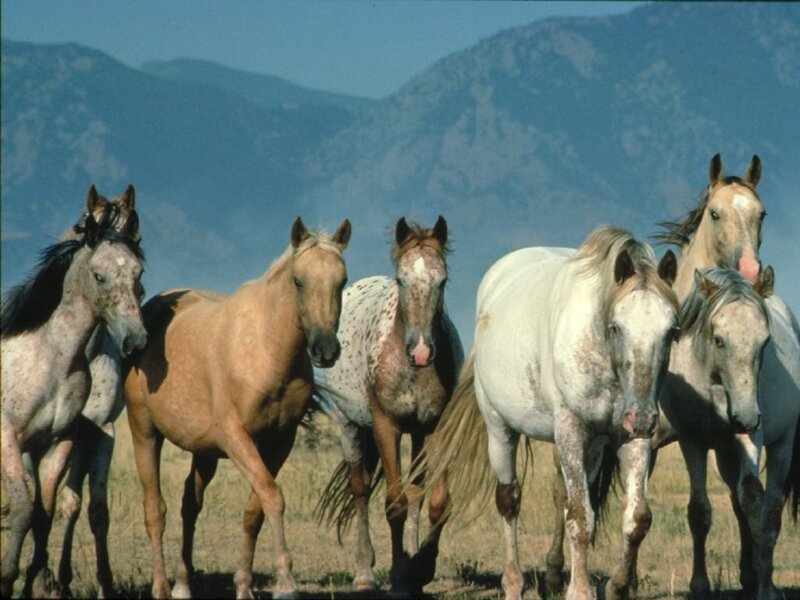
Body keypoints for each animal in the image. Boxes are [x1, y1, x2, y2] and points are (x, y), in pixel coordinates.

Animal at [1, 213, 147, 598]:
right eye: (98, 276)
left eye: (138, 274)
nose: (136, 341)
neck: (50, 357)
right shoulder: (8, 438)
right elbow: (23, 508)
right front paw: (7, 579)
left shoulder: (58, 441)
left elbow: (44, 513)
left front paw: (33, 582)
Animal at [123, 217, 350, 599]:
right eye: (298, 281)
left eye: (342, 281)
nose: (325, 350)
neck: (265, 349)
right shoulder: (237, 439)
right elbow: (273, 497)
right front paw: (285, 583)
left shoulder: (279, 443)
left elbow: (254, 510)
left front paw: (244, 585)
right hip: (145, 433)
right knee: (155, 510)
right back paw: (161, 587)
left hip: (203, 451)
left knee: (189, 505)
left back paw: (183, 584)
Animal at [314, 216, 463, 596]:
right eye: (401, 279)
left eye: (443, 280)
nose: (422, 351)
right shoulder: (386, 427)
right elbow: (394, 504)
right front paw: (398, 578)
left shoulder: (435, 427)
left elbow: (437, 503)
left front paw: (420, 569)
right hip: (350, 428)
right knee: (361, 490)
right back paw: (364, 574)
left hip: (418, 435)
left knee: (416, 492)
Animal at [414, 227, 679, 600]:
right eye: (616, 327)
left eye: (672, 331)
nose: (642, 416)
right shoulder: (569, 429)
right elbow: (580, 517)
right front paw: (580, 591)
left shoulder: (630, 438)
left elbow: (637, 518)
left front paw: (615, 586)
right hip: (499, 429)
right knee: (508, 500)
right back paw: (513, 582)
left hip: (592, 448)